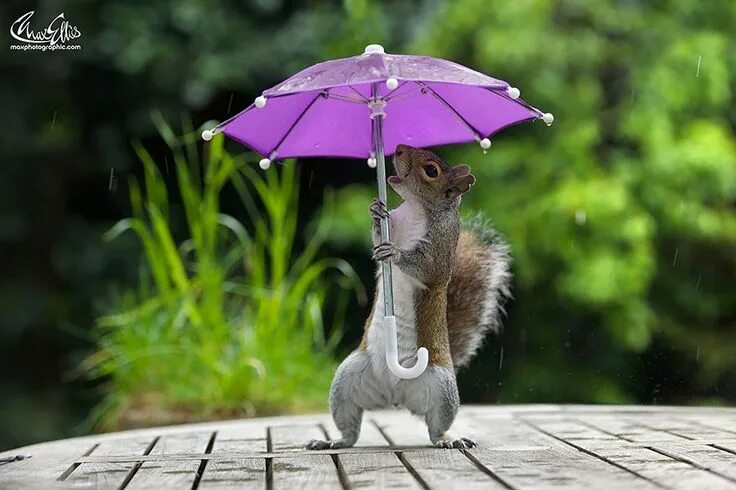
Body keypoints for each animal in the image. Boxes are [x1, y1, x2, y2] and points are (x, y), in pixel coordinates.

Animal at [306, 144, 512, 450]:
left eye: (431, 170)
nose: (399, 148)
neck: (415, 209)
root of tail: (395, 397)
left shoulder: (438, 251)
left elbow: (423, 267)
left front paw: (396, 253)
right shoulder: (393, 226)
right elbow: (377, 238)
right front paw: (375, 211)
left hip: (441, 389)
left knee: (435, 427)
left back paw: (449, 440)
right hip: (347, 379)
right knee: (350, 429)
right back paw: (333, 442)